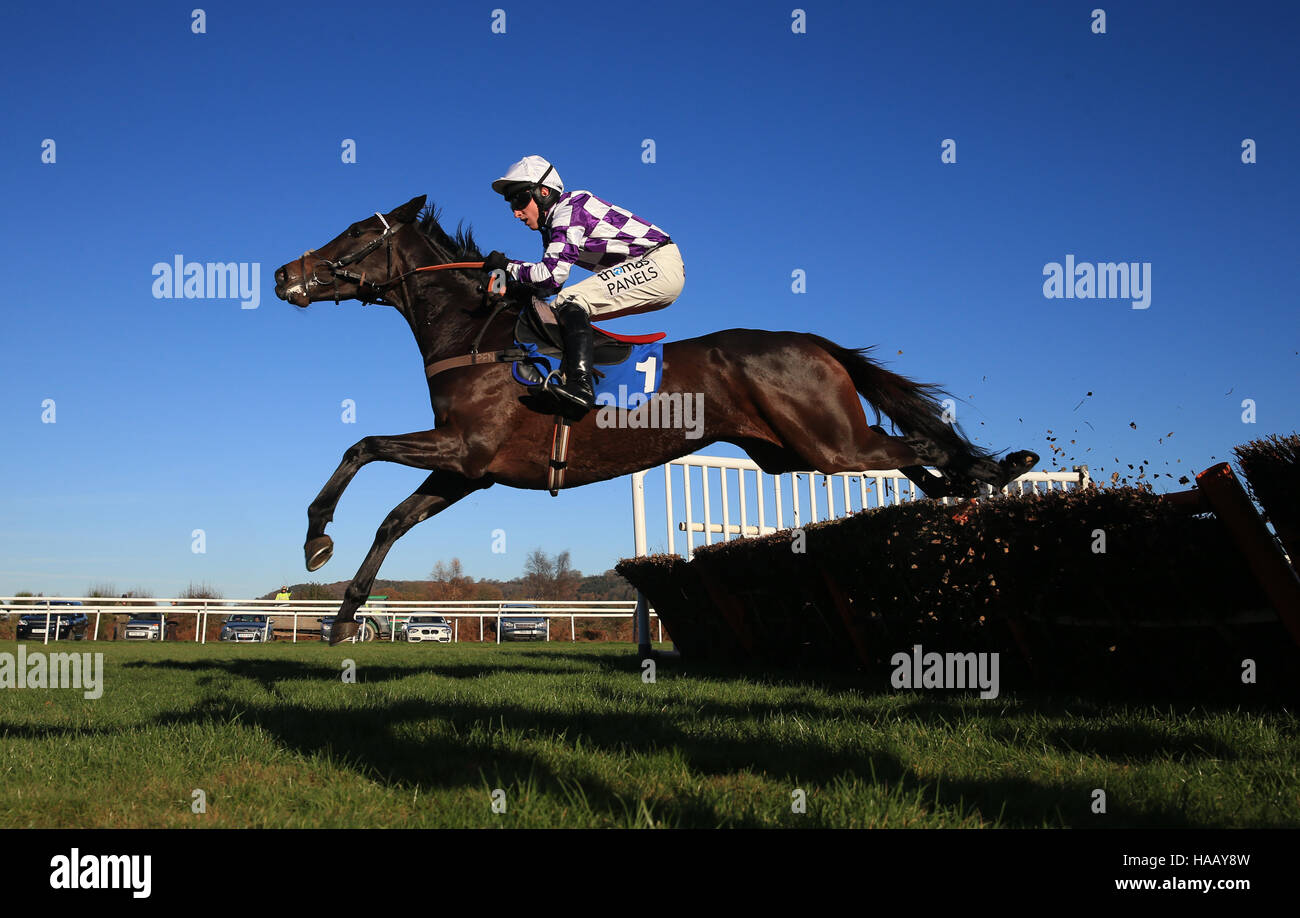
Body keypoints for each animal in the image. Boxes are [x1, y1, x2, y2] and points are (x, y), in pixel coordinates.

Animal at [271, 192, 1034, 639]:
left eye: (351, 233)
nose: (282, 274)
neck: (475, 332)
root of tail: (814, 342)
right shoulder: (470, 469)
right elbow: (393, 519)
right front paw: (342, 613)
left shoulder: (464, 448)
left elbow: (361, 446)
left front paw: (315, 536)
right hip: (791, 449)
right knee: (909, 450)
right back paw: (977, 480)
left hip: (827, 444)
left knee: (915, 448)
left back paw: (989, 476)